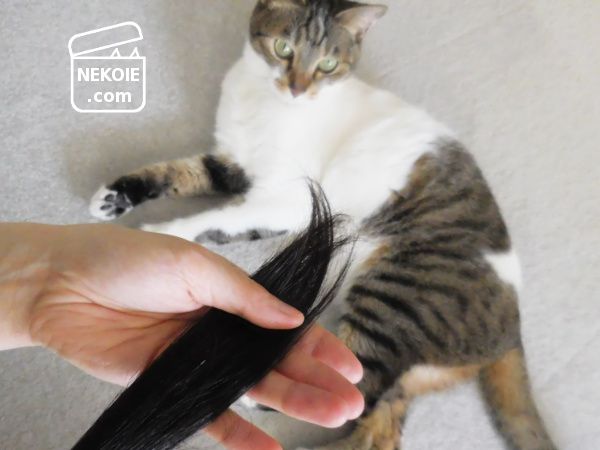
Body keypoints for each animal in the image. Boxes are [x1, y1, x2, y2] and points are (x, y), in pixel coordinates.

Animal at [89, 1, 556, 449]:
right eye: (284, 49)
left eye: (328, 65)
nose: (297, 88)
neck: (262, 97)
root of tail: (514, 323)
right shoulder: (235, 162)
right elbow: (182, 174)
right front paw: (115, 199)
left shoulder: (291, 199)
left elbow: (216, 215)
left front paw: (164, 236)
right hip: (411, 360)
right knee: (381, 428)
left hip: (398, 295)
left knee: (358, 385)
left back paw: (245, 386)